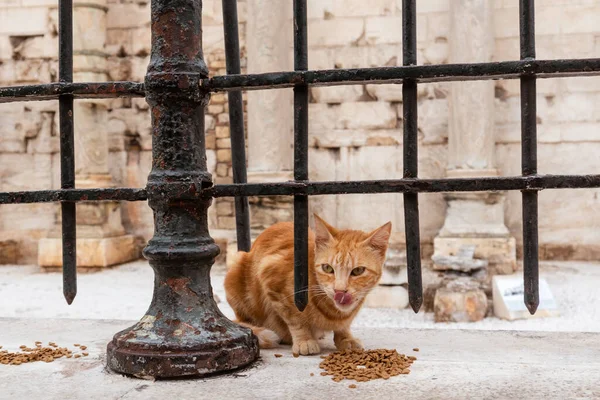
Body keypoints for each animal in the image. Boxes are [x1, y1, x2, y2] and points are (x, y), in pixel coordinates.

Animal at [223, 214, 392, 354]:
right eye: (327, 268)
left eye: (358, 271)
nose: (339, 290)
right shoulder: (270, 278)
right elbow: (295, 319)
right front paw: (304, 340)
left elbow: (344, 325)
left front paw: (345, 337)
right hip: (236, 269)